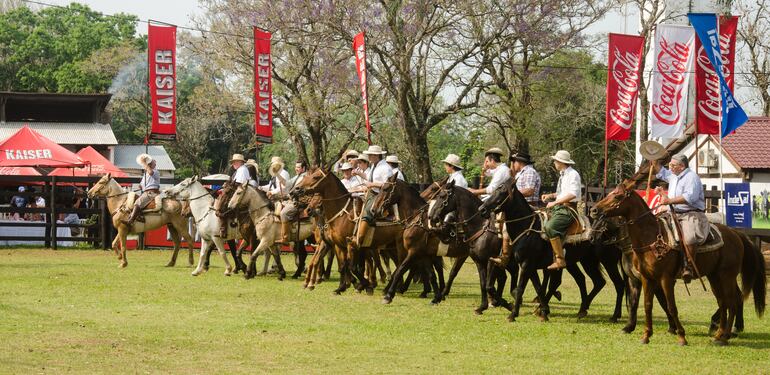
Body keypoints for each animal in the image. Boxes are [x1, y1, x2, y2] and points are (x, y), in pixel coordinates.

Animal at [588, 181, 760, 346]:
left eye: (617, 196)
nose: (594, 210)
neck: (652, 238)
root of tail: (736, 234)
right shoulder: (645, 279)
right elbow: (647, 304)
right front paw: (645, 335)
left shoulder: (665, 279)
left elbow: (670, 306)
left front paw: (681, 336)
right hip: (714, 277)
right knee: (723, 302)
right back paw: (719, 334)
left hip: (727, 276)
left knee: (732, 302)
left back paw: (726, 335)